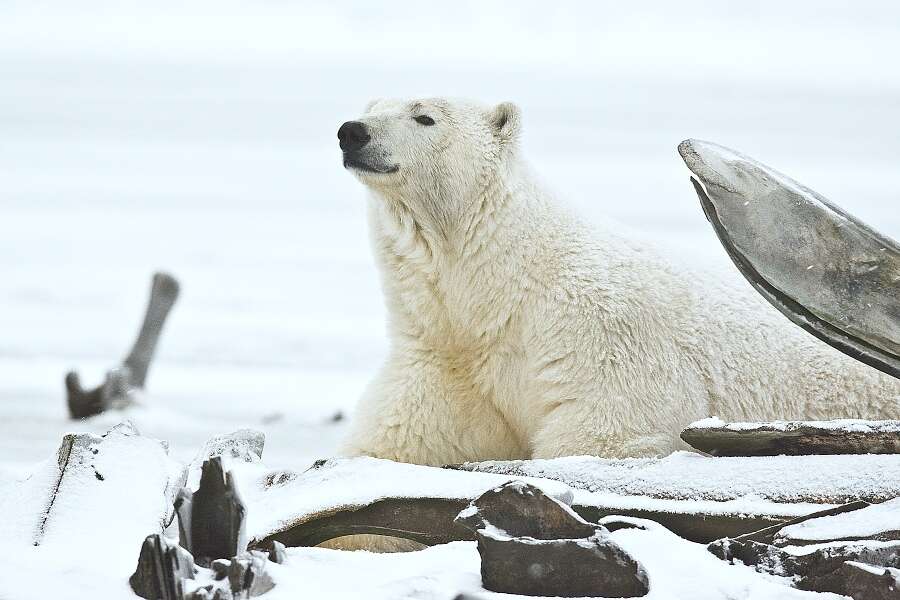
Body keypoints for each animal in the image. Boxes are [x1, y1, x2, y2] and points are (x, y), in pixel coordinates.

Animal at [338, 97, 900, 464]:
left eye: (424, 116)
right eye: (373, 104)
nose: (352, 131)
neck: (502, 291)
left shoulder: (600, 330)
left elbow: (611, 432)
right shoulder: (446, 354)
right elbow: (403, 436)